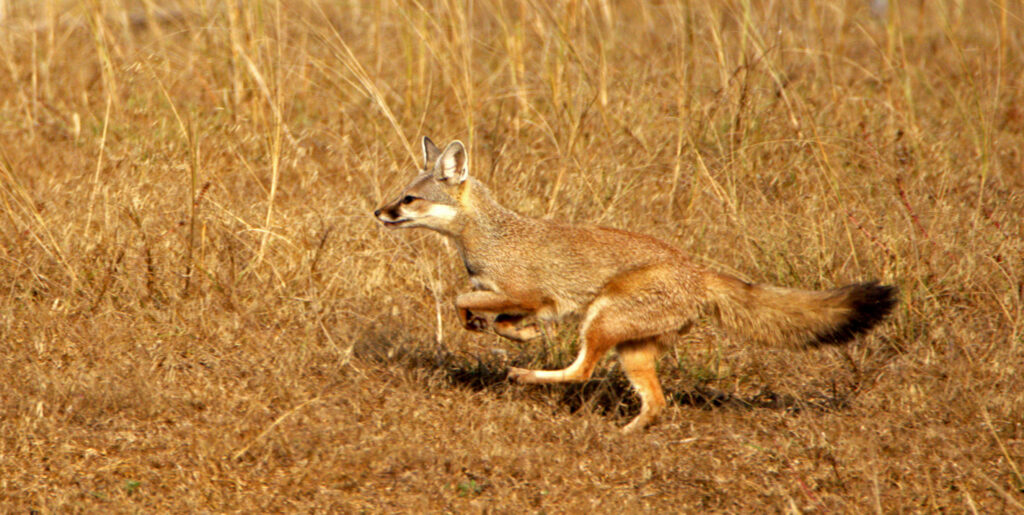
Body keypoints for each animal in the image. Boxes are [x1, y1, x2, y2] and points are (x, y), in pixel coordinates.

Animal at [374, 137, 897, 433]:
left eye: (408, 199)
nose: (378, 211)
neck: (489, 234)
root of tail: (697, 270)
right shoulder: (527, 301)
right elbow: (487, 311)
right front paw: (513, 332)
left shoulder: (529, 293)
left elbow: (459, 297)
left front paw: (494, 329)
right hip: (632, 351)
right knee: (657, 403)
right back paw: (625, 435)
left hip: (599, 322)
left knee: (582, 371)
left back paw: (527, 377)